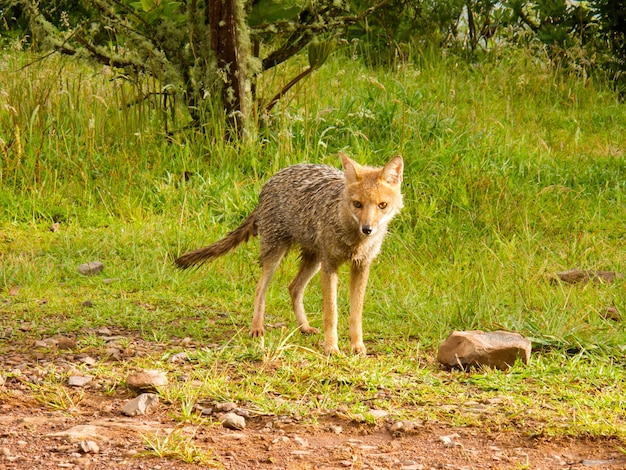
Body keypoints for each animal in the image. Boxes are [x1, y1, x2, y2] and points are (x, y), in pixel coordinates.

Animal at [173, 154, 402, 356]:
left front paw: (357, 347)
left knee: (293, 287)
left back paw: (304, 327)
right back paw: (257, 328)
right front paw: (331, 348)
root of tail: (273, 177)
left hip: (313, 261)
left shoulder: (361, 266)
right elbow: (331, 313)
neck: (354, 240)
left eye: (382, 205)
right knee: (260, 288)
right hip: (276, 255)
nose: (367, 229)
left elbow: (356, 314)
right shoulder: (330, 266)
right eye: (357, 204)